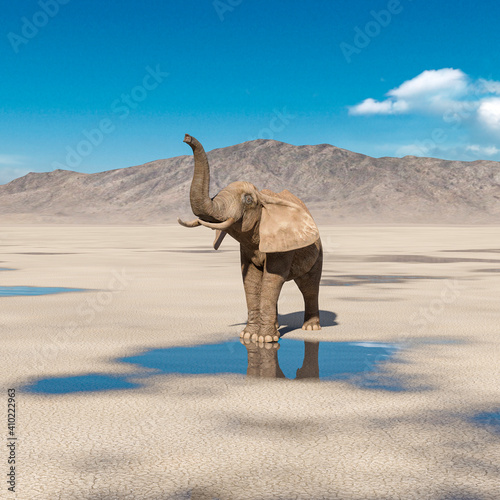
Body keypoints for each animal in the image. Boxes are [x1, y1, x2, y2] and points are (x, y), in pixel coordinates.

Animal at [178, 134, 322, 344]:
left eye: (248, 200)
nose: (186, 137)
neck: (264, 199)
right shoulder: (245, 248)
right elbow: (252, 280)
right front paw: (249, 336)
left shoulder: (282, 244)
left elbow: (272, 279)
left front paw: (265, 340)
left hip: (317, 252)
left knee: (309, 286)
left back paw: (311, 328)